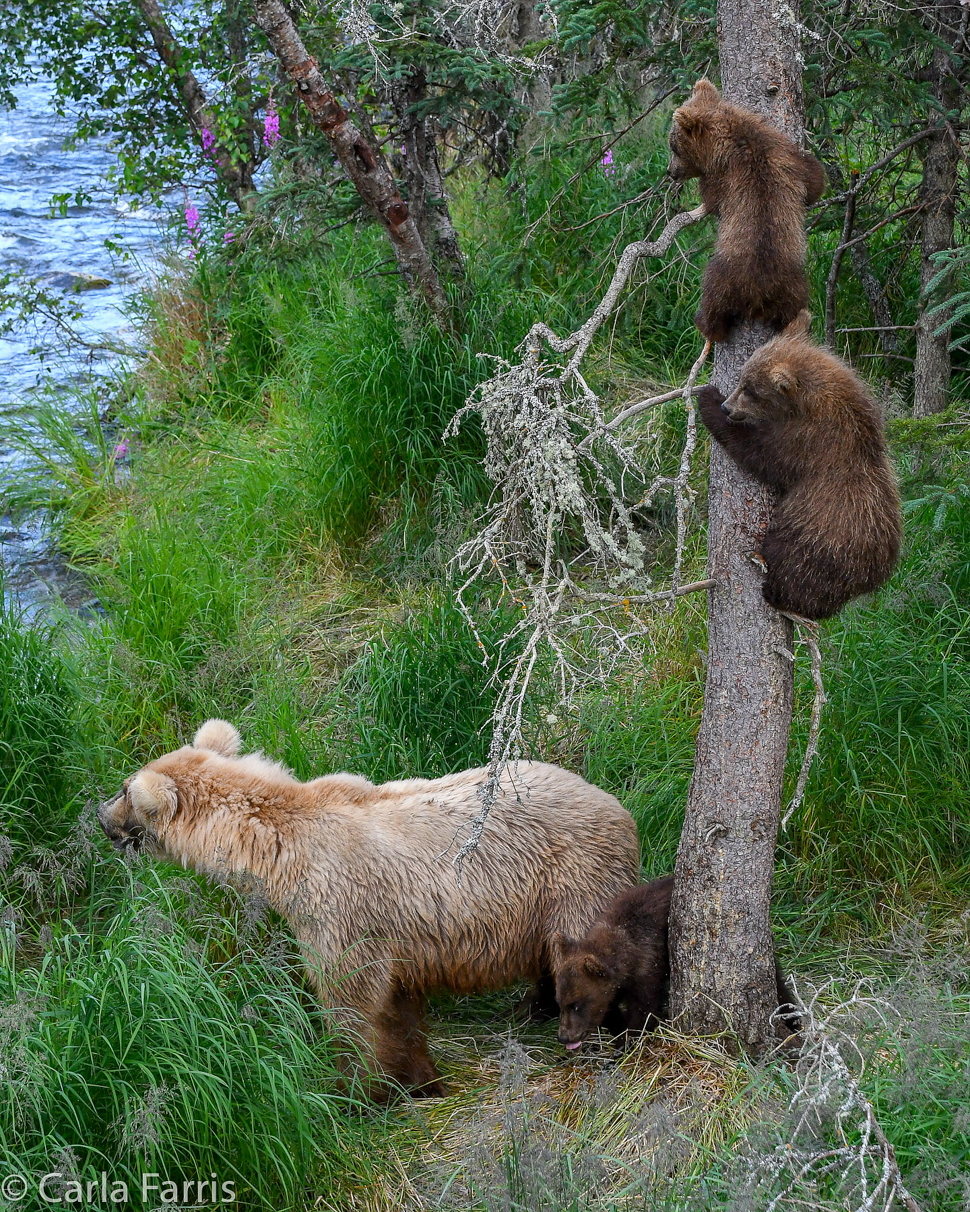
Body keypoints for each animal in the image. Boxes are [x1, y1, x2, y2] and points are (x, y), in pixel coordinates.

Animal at [98, 717, 640, 1100]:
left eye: (125, 789)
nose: (102, 815)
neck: (277, 851)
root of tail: (618, 808)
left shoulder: (336, 911)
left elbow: (350, 1003)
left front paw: (358, 1091)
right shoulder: (389, 935)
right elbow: (398, 1006)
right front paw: (420, 1078)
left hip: (571, 881)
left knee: (587, 961)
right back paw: (531, 1007)